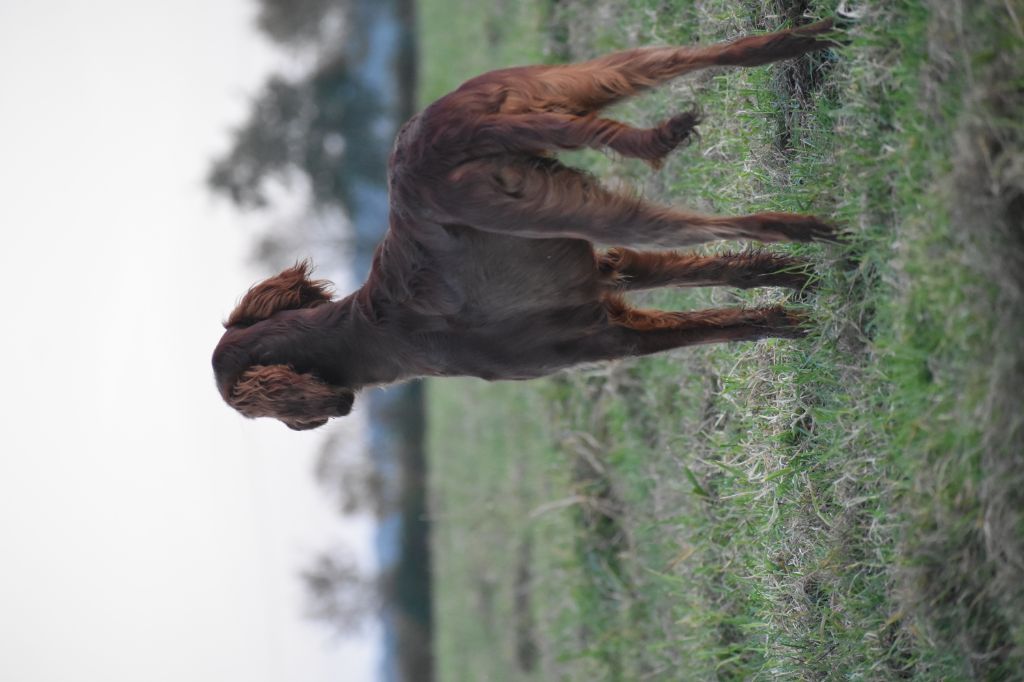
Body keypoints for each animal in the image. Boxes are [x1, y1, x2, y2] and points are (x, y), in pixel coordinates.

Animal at [211, 18, 835, 428]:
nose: (309, 423)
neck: (368, 328)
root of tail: (455, 137)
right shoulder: (606, 274)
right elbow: (729, 278)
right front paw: (794, 286)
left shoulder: (603, 336)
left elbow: (726, 324)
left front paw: (794, 322)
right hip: (574, 87)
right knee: (704, 58)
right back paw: (807, 38)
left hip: (569, 201)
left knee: (734, 222)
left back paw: (818, 229)